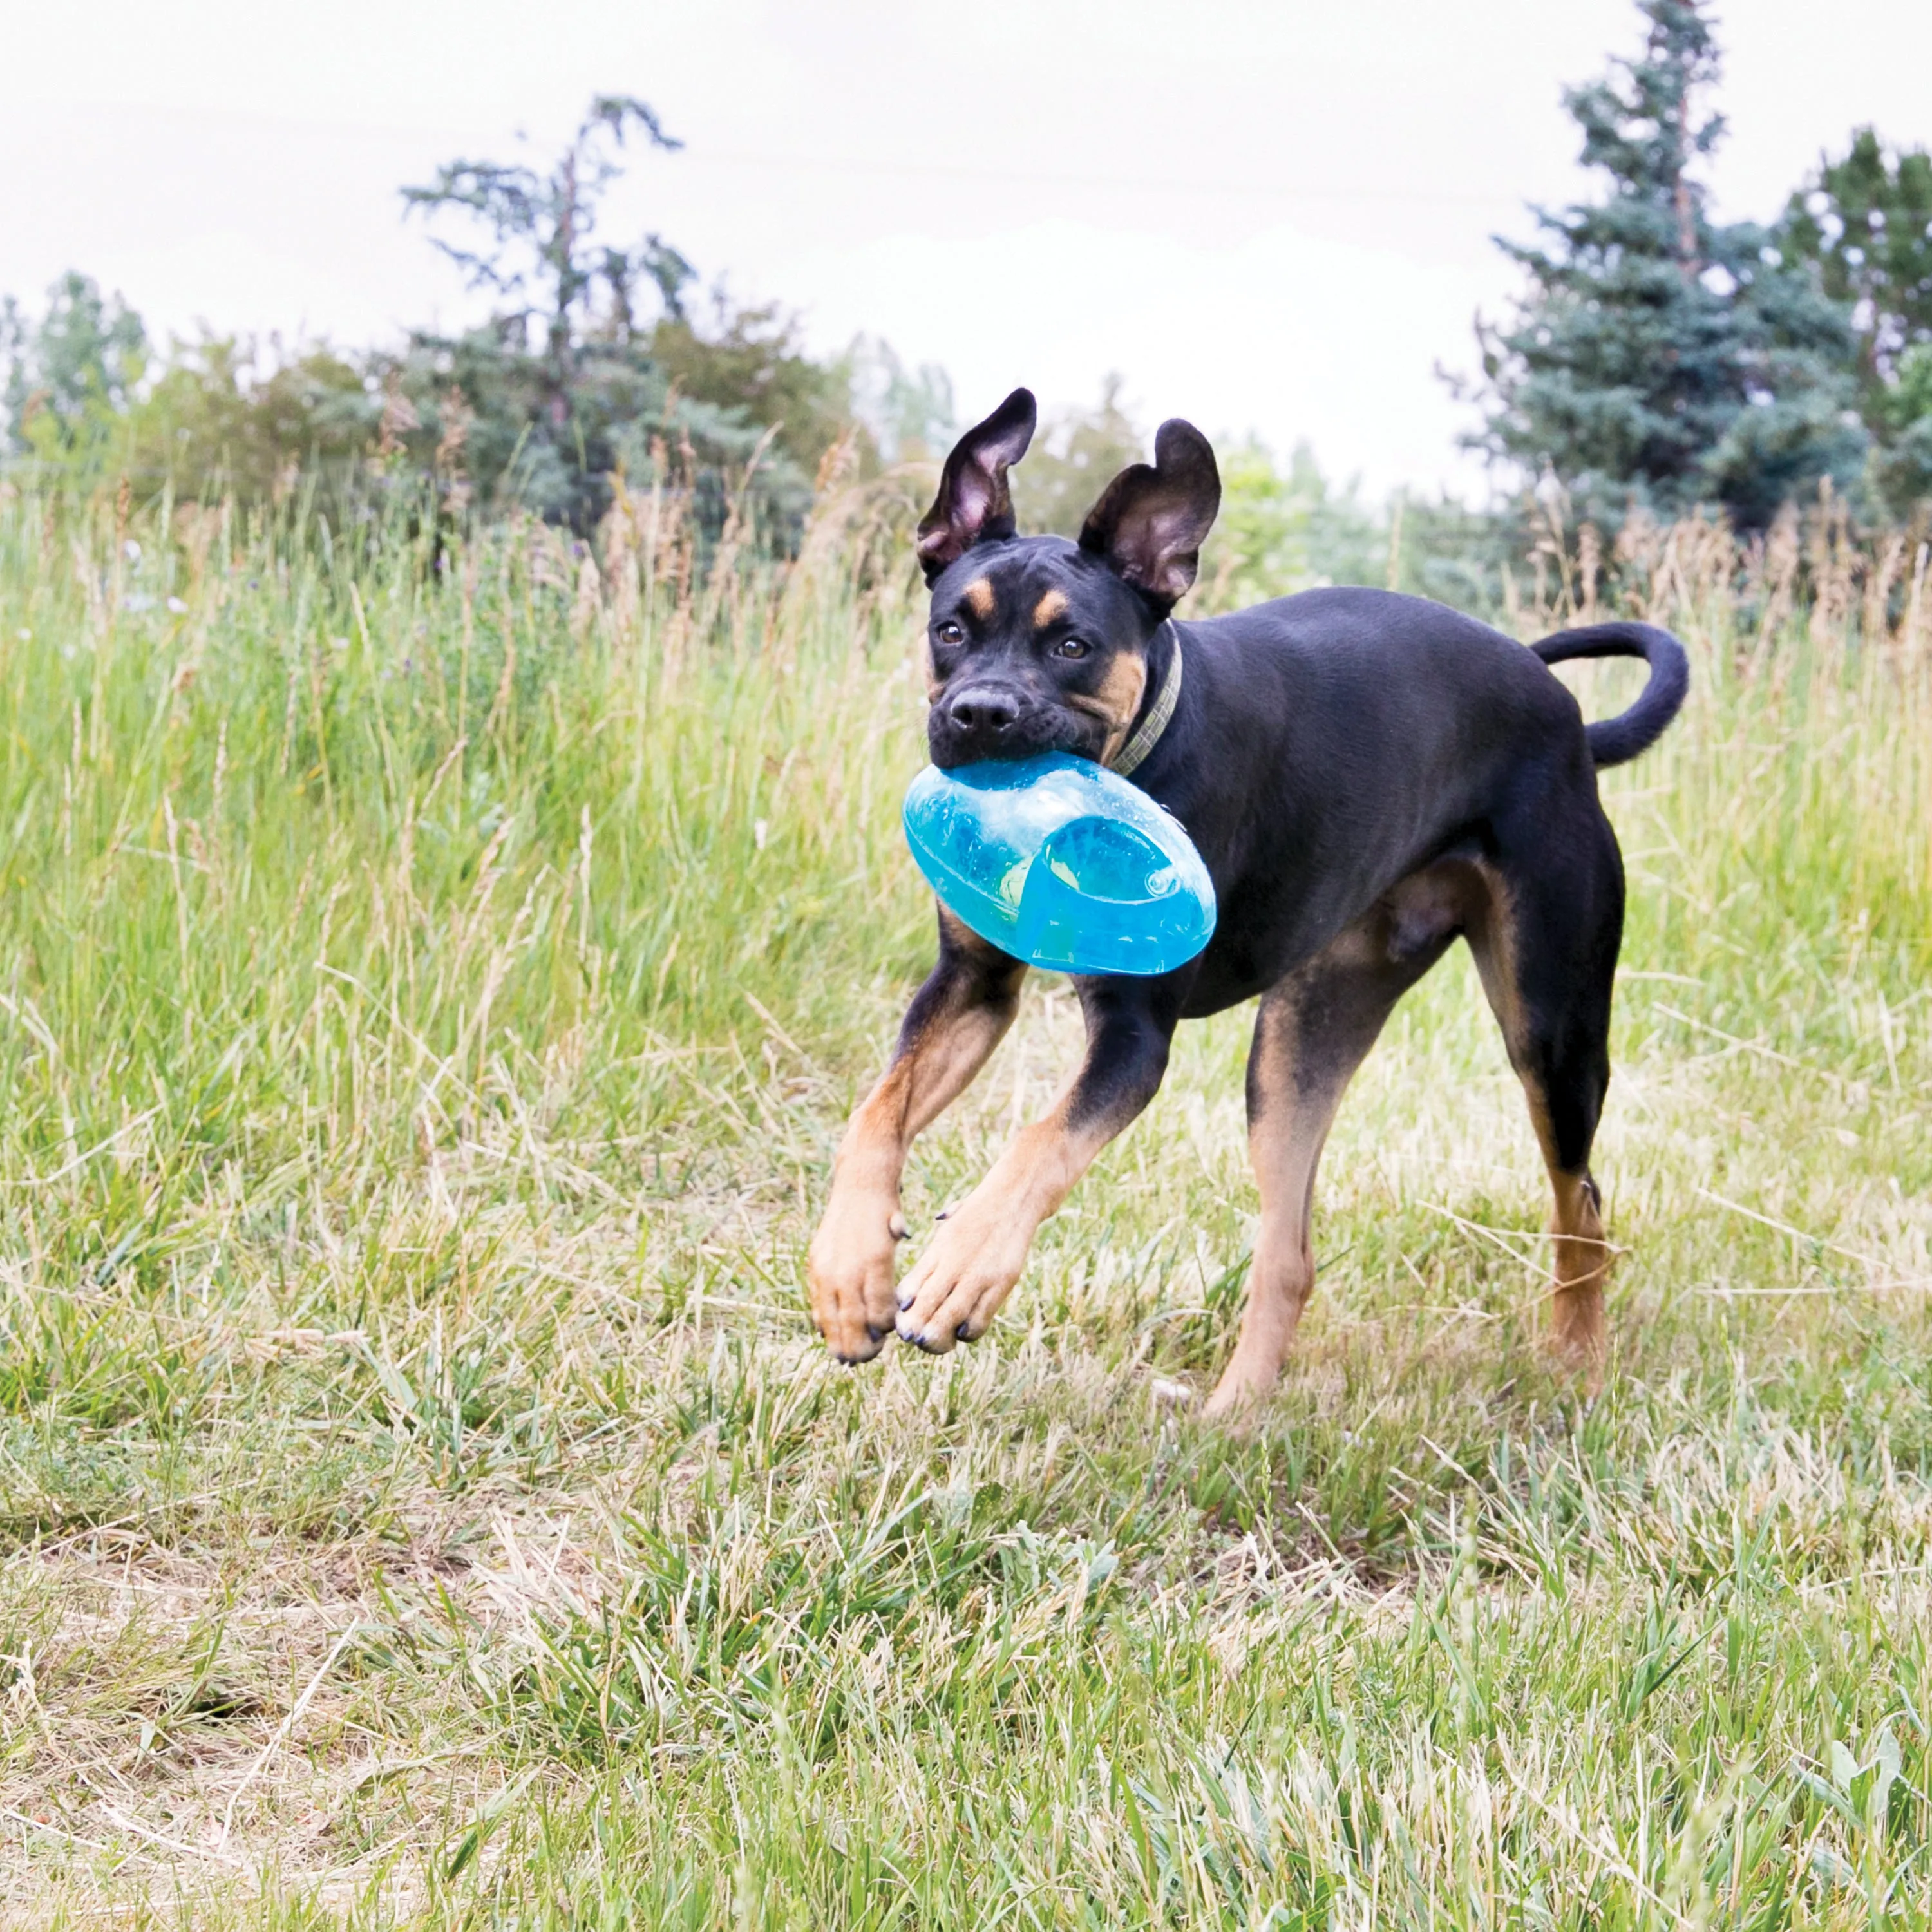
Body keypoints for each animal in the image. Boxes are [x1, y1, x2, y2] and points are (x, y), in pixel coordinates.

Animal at [808, 392, 1685, 1422]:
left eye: (1073, 646)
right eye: (952, 629)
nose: (980, 714)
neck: (1139, 752)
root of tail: (1564, 716)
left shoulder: (1133, 1038)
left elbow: (1041, 1143)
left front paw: (961, 1268)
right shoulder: (971, 987)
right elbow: (876, 1113)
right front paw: (848, 1272)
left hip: (1553, 1028)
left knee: (1581, 1204)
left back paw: (1579, 1365)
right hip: (1301, 1039)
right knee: (1291, 1252)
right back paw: (1233, 1417)